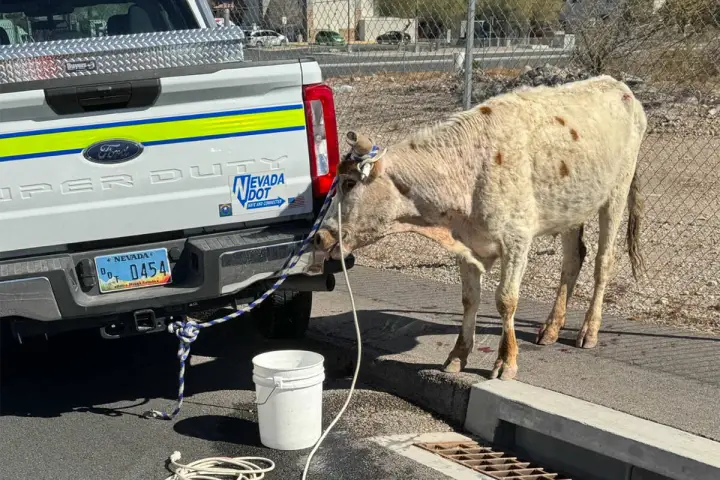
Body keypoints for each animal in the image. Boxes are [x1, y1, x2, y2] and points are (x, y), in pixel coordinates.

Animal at [316, 75, 648, 380]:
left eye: (349, 183)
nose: (320, 235)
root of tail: (618, 85)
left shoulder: (516, 240)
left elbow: (506, 300)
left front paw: (506, 360)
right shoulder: (466, 244)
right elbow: (469, 299)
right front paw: (458, 355)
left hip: (616, 192)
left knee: (603, 263)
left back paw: (589, 330)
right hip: (571, 206)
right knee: (573, 259)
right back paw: (552, 327)